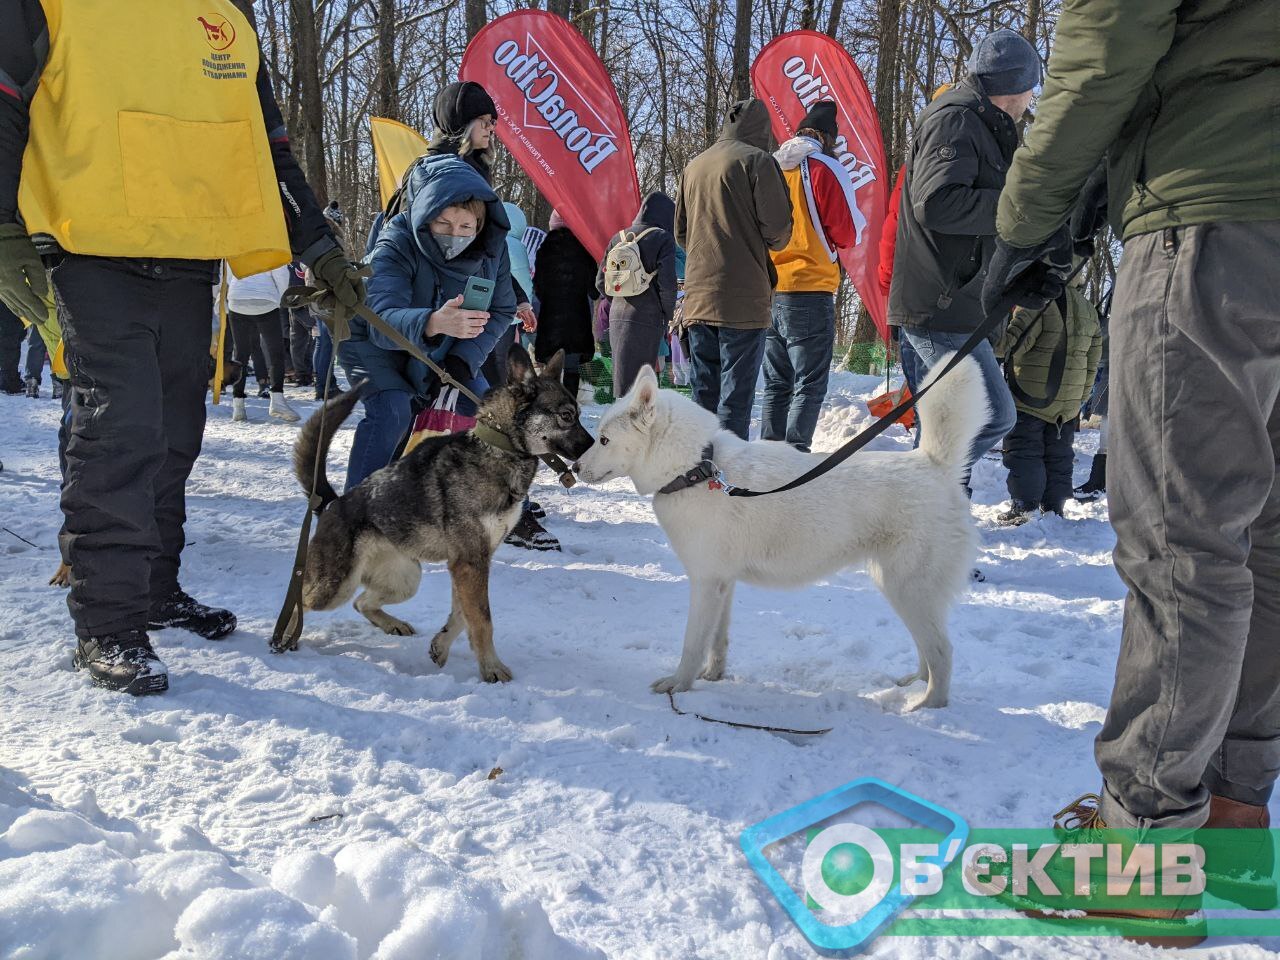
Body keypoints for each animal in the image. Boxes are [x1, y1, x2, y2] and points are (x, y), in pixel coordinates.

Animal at [576, 358, 983, 711]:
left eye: (604, 440)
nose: (574, 467)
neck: (696, 470)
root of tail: (933, 465)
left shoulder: (706, 583)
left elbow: (693, 643)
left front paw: (680, 684)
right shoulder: (723, 584)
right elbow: (718, 641)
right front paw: (713, 676)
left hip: (907, 589)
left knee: (943, 652)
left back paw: (927, 706)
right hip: (903, 590)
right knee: (927, 648)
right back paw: (914, 685)